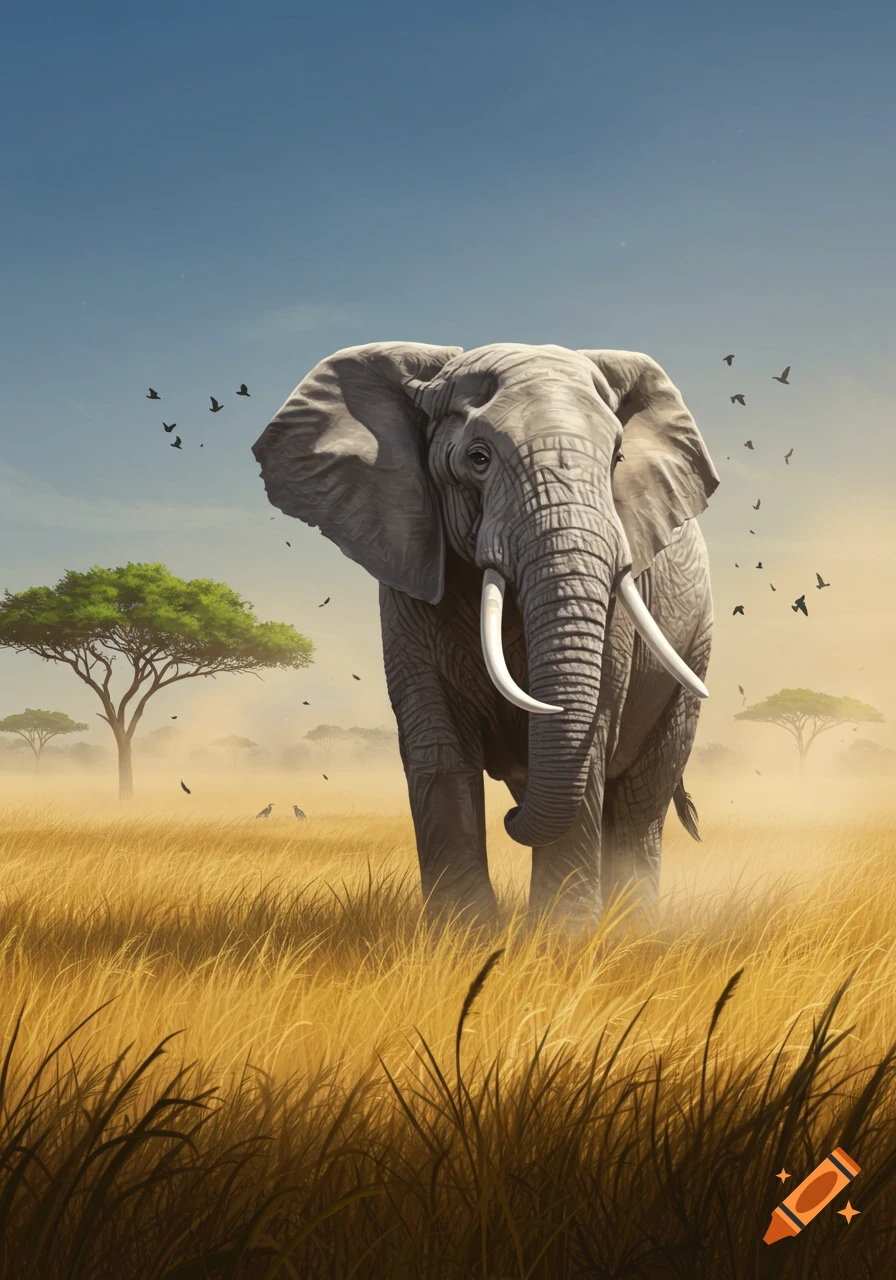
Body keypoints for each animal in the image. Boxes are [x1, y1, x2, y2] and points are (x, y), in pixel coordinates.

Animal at [251, 342, 718, 931]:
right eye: (478, 458)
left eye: (616, 460)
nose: (511, 818)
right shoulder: (408, 569)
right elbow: (439, 749)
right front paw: (464, 939)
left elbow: (592, 740)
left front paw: (561, 941)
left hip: (693, 649)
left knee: (641, 799)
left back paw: (630, 931)